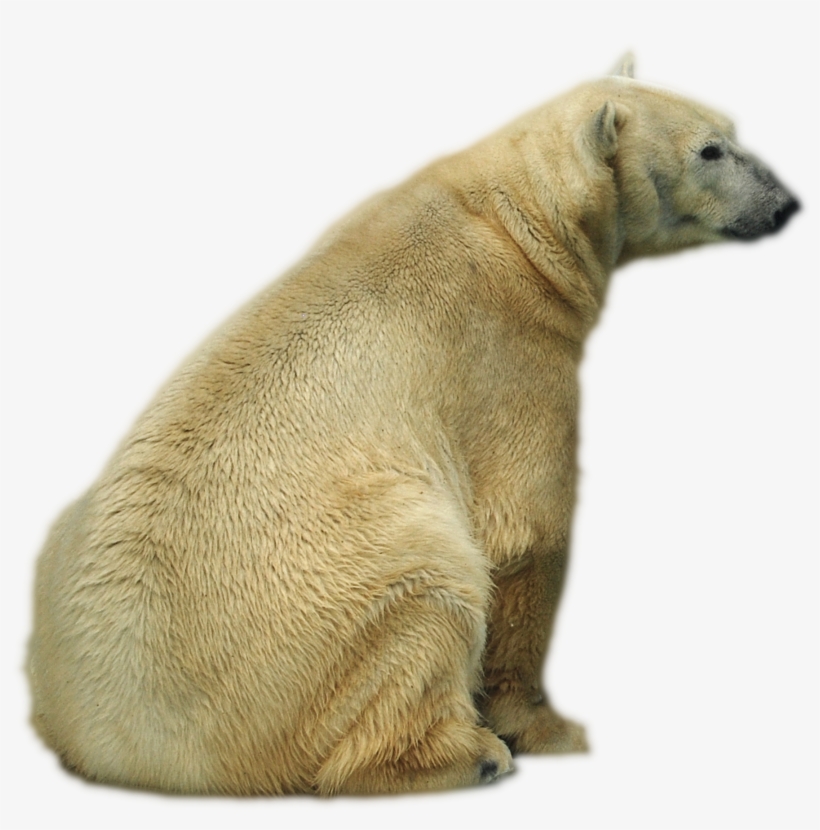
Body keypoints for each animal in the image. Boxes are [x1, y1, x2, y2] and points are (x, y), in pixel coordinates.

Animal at [28, 55, 799, 796]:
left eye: (733, 129)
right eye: (710, 149)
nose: (787, 203)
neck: (519, 221)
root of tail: (126, 746)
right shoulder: (505, 354)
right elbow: (526, 528)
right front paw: (551, 729)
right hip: (338, 579)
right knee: (425, 591)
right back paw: (469, 755)